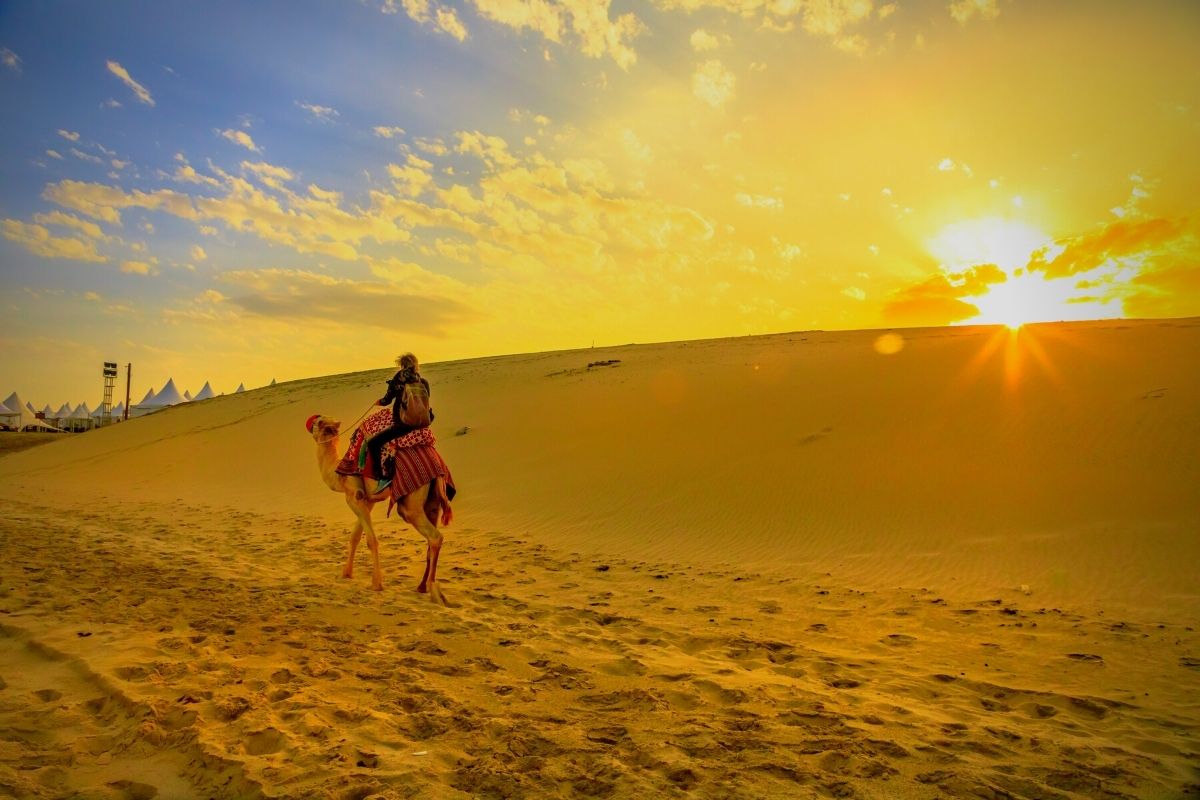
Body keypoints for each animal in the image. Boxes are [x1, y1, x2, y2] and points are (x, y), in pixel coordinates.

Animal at [312, 412, 451, 606]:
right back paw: (421, 586)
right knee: (431, 539)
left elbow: (370, 540)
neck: (337, 473)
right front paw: (346, 573)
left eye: (318, 422)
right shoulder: (367, 500)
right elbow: (355, 537)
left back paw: (433, 590)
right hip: (433, 501)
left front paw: (376, 583)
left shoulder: (354, 497)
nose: (310, 423)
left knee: (435, 536)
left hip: (411, 503)